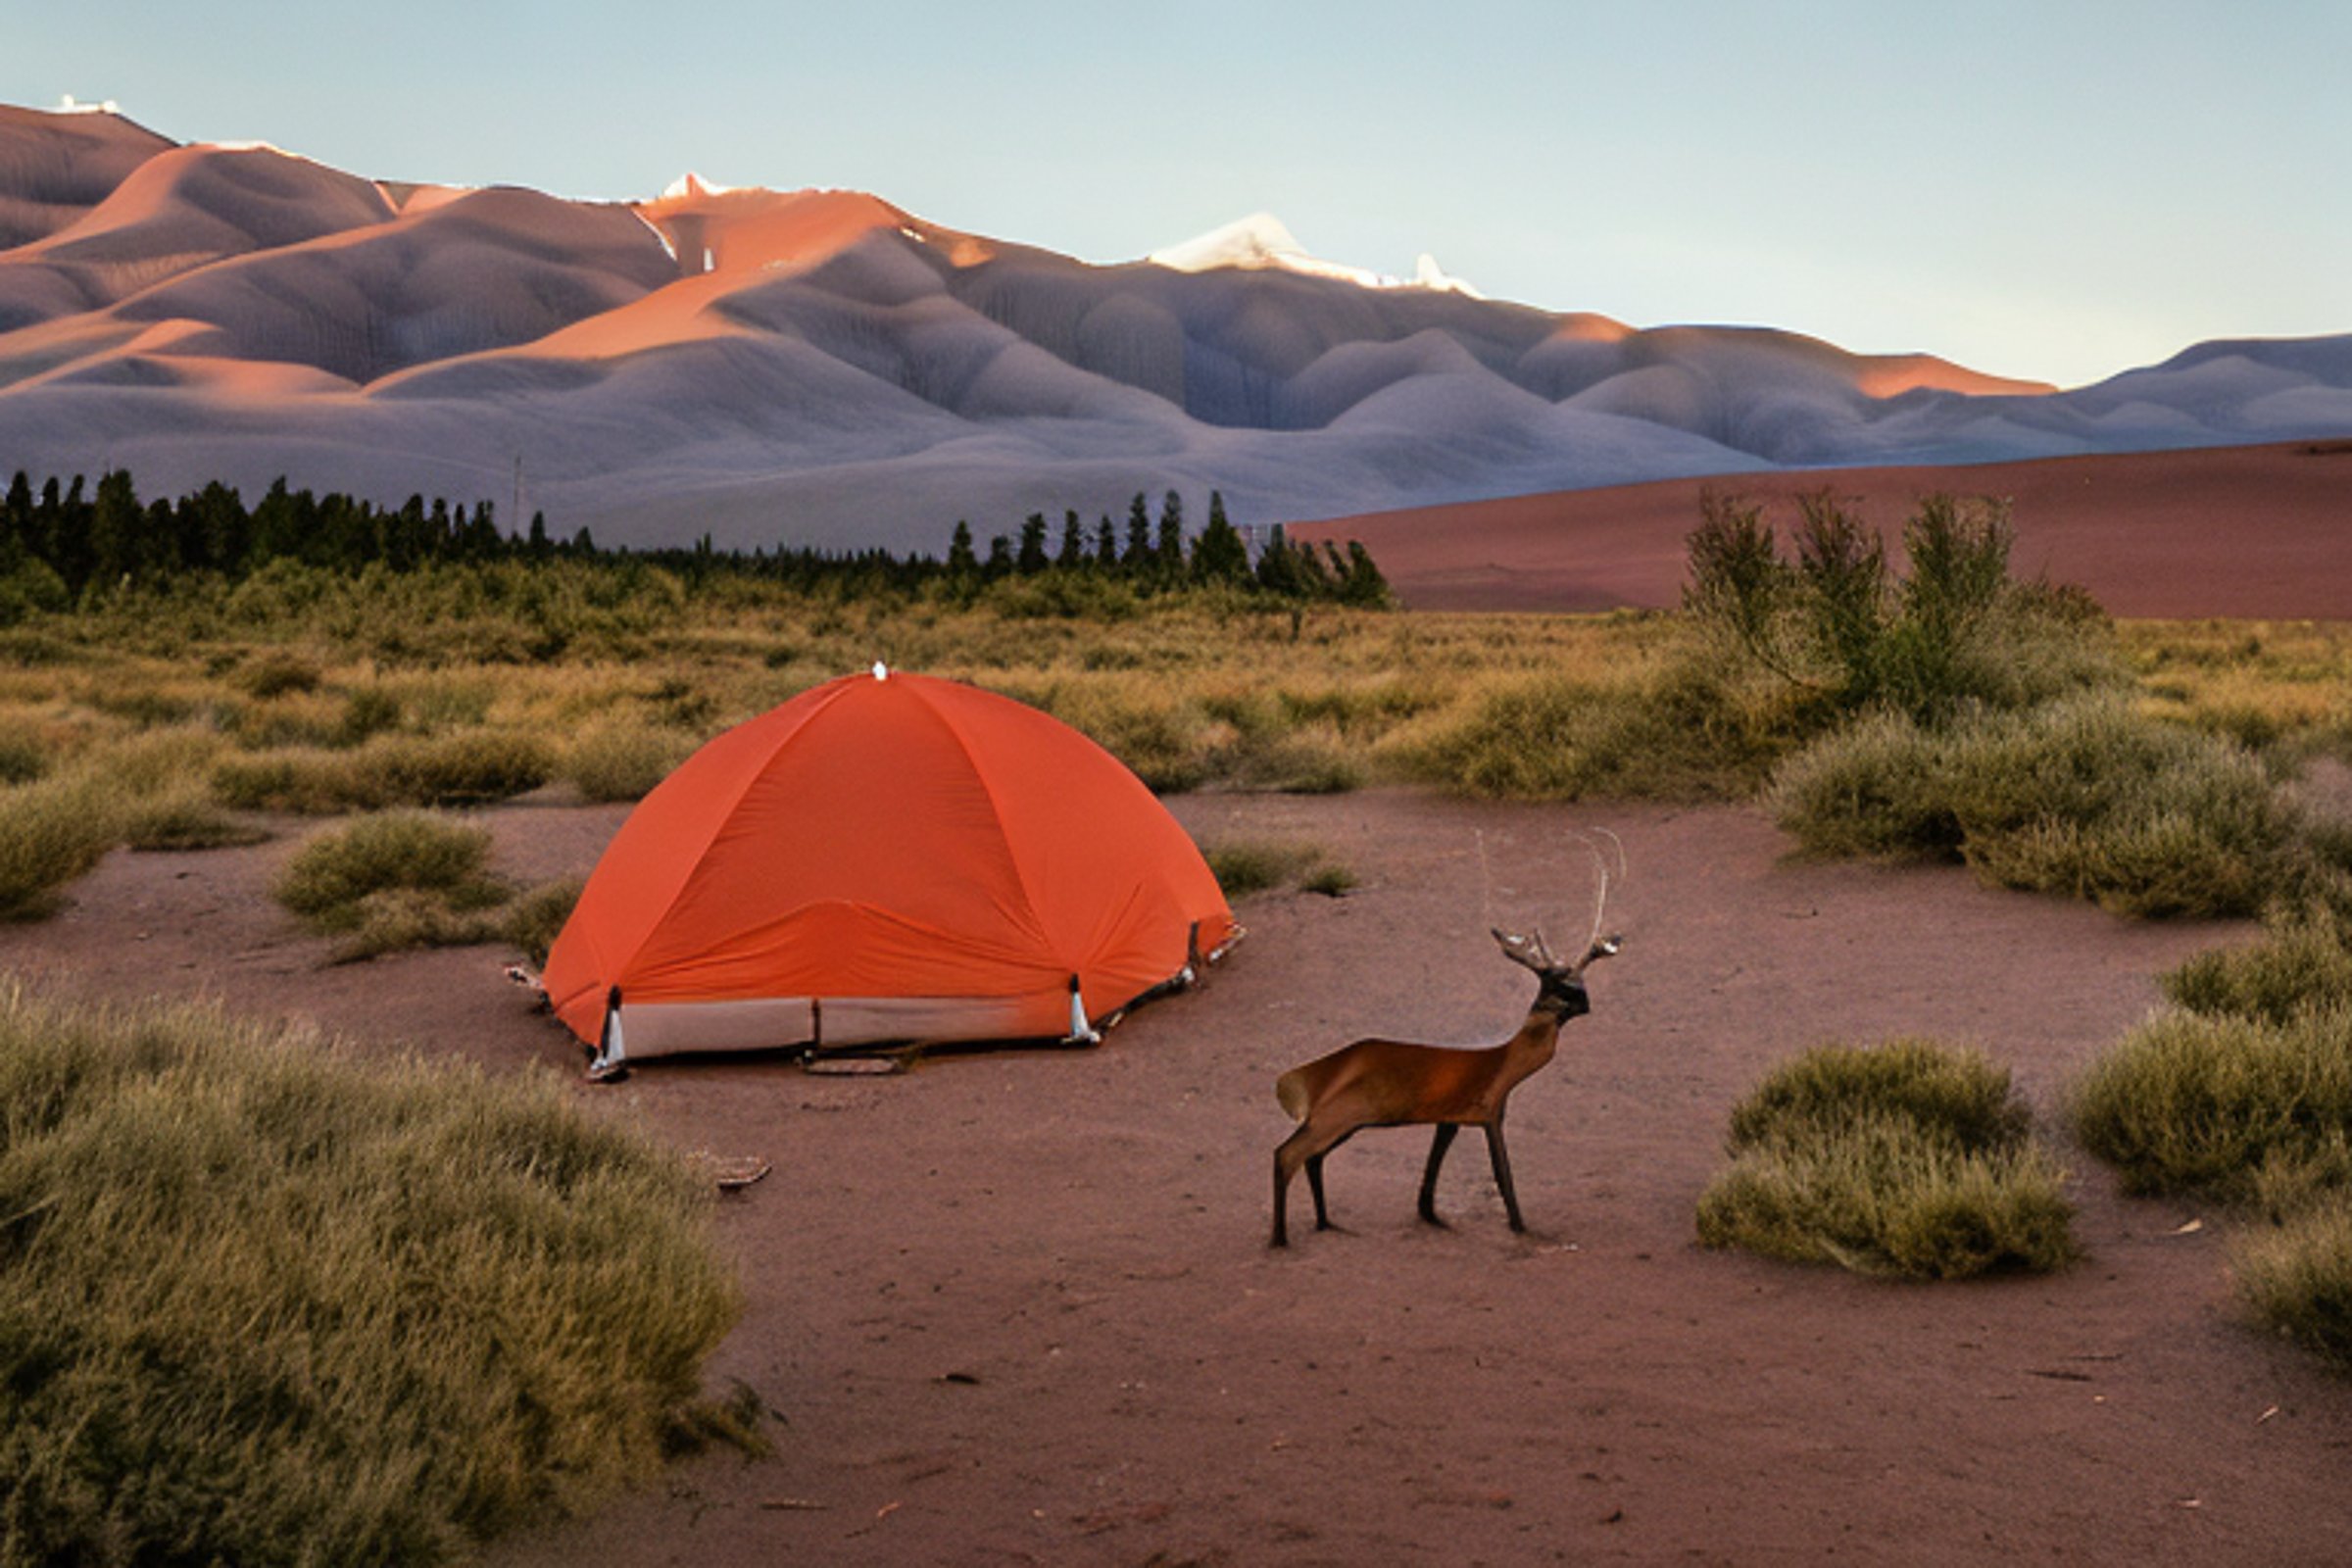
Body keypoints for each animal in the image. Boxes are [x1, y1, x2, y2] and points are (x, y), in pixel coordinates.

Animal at [1269, 844, 1621, 1248]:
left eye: (1581, 984)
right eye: (1561, 985)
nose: (1586, 1004)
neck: (1506, 1063)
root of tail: (1296, 1082)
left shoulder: (1448, 1118)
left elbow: (1430, 1178)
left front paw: (1433, 1218)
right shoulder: (1487, 1112)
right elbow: (1504, 1175)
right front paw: (1522, 1228)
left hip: (1347, 1122)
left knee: (1312, 1158)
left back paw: (1326, 1223)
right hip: (1339, 1115)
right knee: (1286, 1154)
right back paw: (1279, 1238)